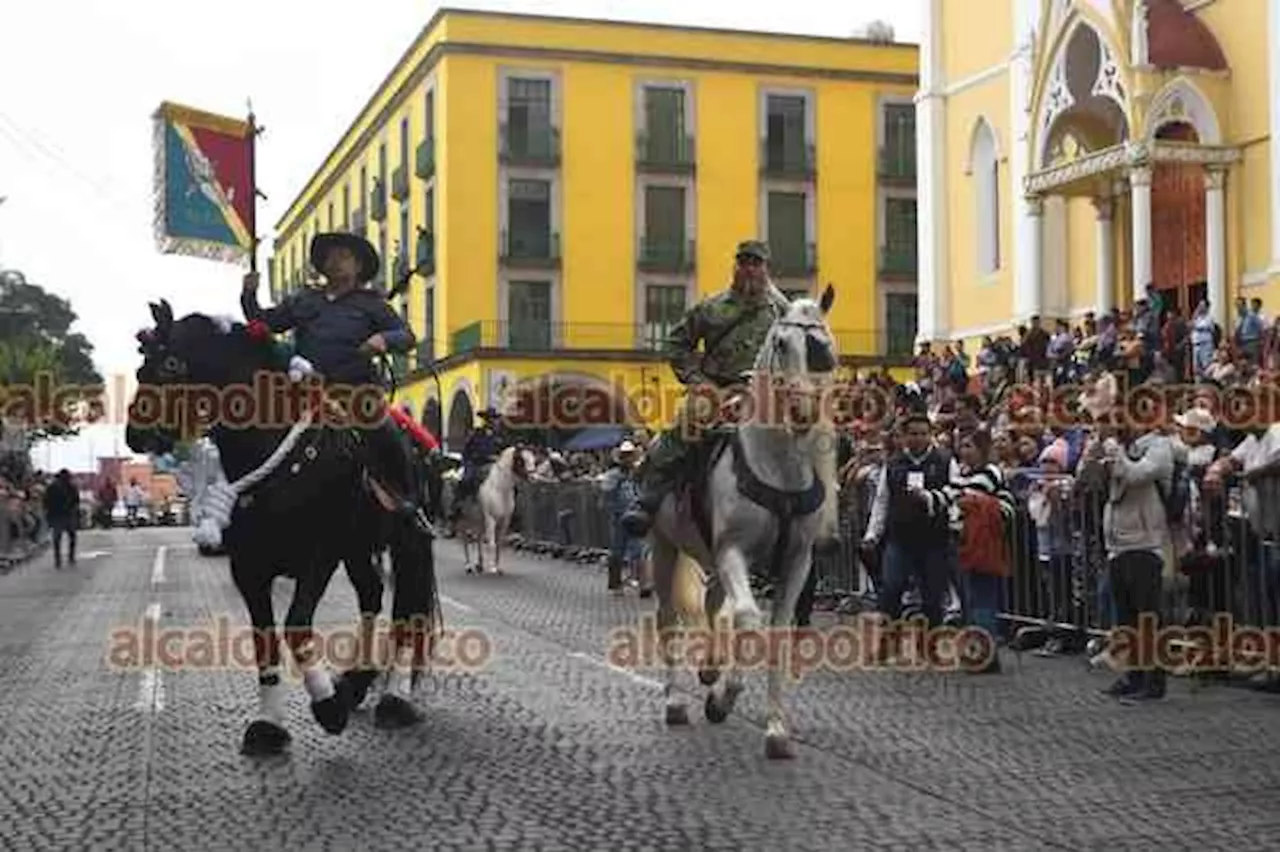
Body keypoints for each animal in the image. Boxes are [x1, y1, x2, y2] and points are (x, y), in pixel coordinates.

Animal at [124, 301, 442, 752]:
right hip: (357, 548)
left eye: (169, 365)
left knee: (406, 611)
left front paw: (327, 705)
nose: (135, 434)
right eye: (141, 367)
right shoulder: (247, 567)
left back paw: (393, 697)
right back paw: (357, 680)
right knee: (371, 594)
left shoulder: (320, 554)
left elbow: (294, 625)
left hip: (406, 541)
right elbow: (265, 640)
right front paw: (269, 722)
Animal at [455, 440, 529, 573]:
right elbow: (491, 543)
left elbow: (499, 543)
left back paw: (479, 564)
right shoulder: (491, 518)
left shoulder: (505, 520)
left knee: (478, 538)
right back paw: (468, 565)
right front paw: (492, 568)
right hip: (464, 519)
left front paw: (497, 567)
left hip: (479, 519)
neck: (500, 488)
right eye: (520, 460)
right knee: (465, 539)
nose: (531, 476)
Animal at [650, 284, 839, 757]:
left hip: (711, 557)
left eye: (824, 348)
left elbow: (776, 633)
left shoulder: (796, 561)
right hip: (664, 546)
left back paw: (709, 667)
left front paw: (776, 729)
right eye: (782, 343)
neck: (779, 469)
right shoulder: (734, 550)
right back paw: (677, 701)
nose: (802, 410)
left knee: (714, 605)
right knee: (670, 618)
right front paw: (723, 698)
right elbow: (748, 619)